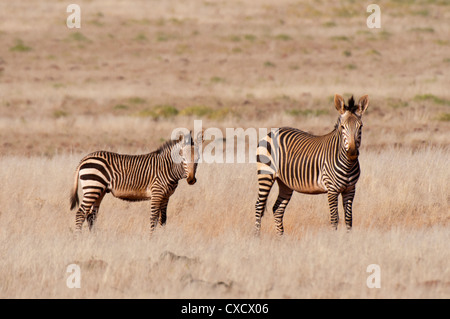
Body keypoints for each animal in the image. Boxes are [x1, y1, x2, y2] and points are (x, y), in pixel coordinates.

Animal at [70, 131, 204, 235]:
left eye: (198, 159)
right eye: (183, 158)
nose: (191, 180)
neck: (167, 168)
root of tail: (85, 158)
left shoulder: (166, 196)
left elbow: (163, 219)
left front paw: (162, 238)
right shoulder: (157, 193)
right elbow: (154, 218)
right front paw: (152, 240)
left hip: (99, 190)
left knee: (91, 216)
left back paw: (94, 238)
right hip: (93, 187)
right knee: (80, 213)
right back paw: (78, 239)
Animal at [256, 94, 370, 236]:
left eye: (361, 126)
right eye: (343, 127)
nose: (353, 152)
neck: (348, 164)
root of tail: (273, 132)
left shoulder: (350, 189)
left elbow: (349, 219)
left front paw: (348, 238)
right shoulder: (332, 189)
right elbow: (334, 218)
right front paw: (335, 239)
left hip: (285, 183)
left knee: (277, 209)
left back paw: (280, 237)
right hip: (265, 176)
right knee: (259, 206)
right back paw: (257, 237)